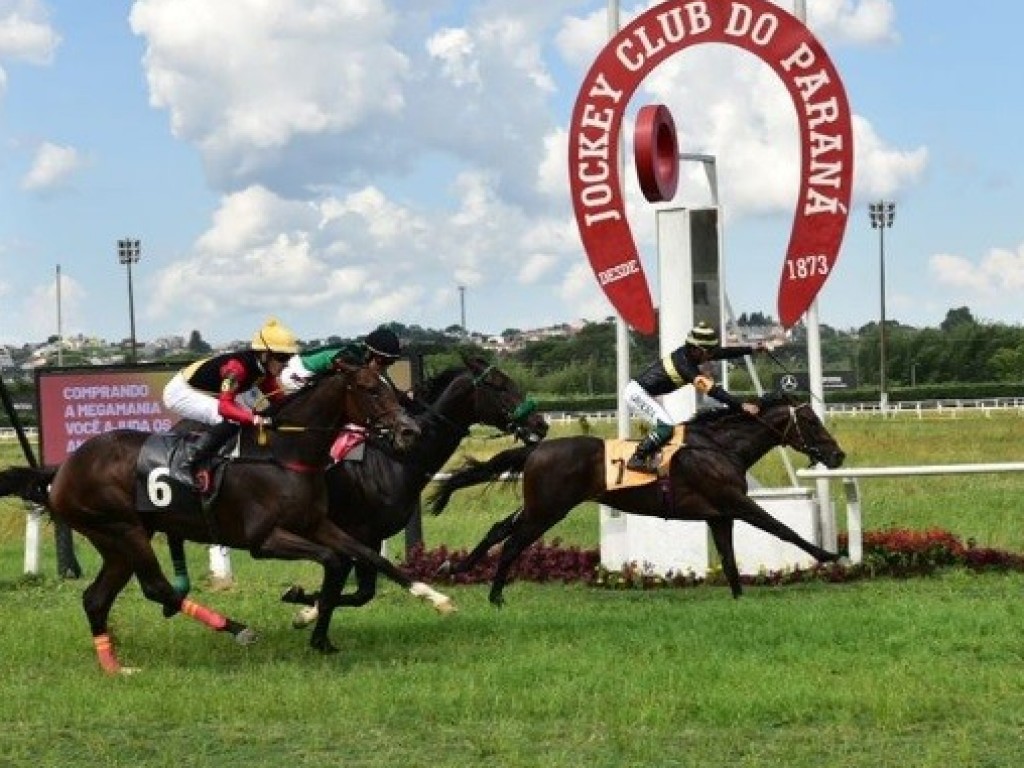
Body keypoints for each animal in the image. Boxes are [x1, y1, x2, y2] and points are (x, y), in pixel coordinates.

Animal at [0, 364, 456, 671]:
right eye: (369, 389)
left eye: (392, 387)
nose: (410, 432)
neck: (284, 454)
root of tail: (63, 468)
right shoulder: (264, 540)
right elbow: (333, 561)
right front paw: (310, 622)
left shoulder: (317, 524)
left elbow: (368, 556)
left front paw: (435, 598)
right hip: (123, 529)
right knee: (157, 588)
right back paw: (238, 629)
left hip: (115, 541)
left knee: (96, 598)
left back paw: (114, 667)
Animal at [430, 397, 847, 606]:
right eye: (812, 423)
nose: (838, 455)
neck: (719, 447)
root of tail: (535, 450)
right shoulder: (734, 502)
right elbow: (782, 528)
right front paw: (829, 555)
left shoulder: (719, 515)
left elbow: (729, 560)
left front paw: (739, 599)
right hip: (548, 511)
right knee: (513, 542)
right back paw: (495, 594)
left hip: (538, 507)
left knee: (499, 529)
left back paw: (459, 567)